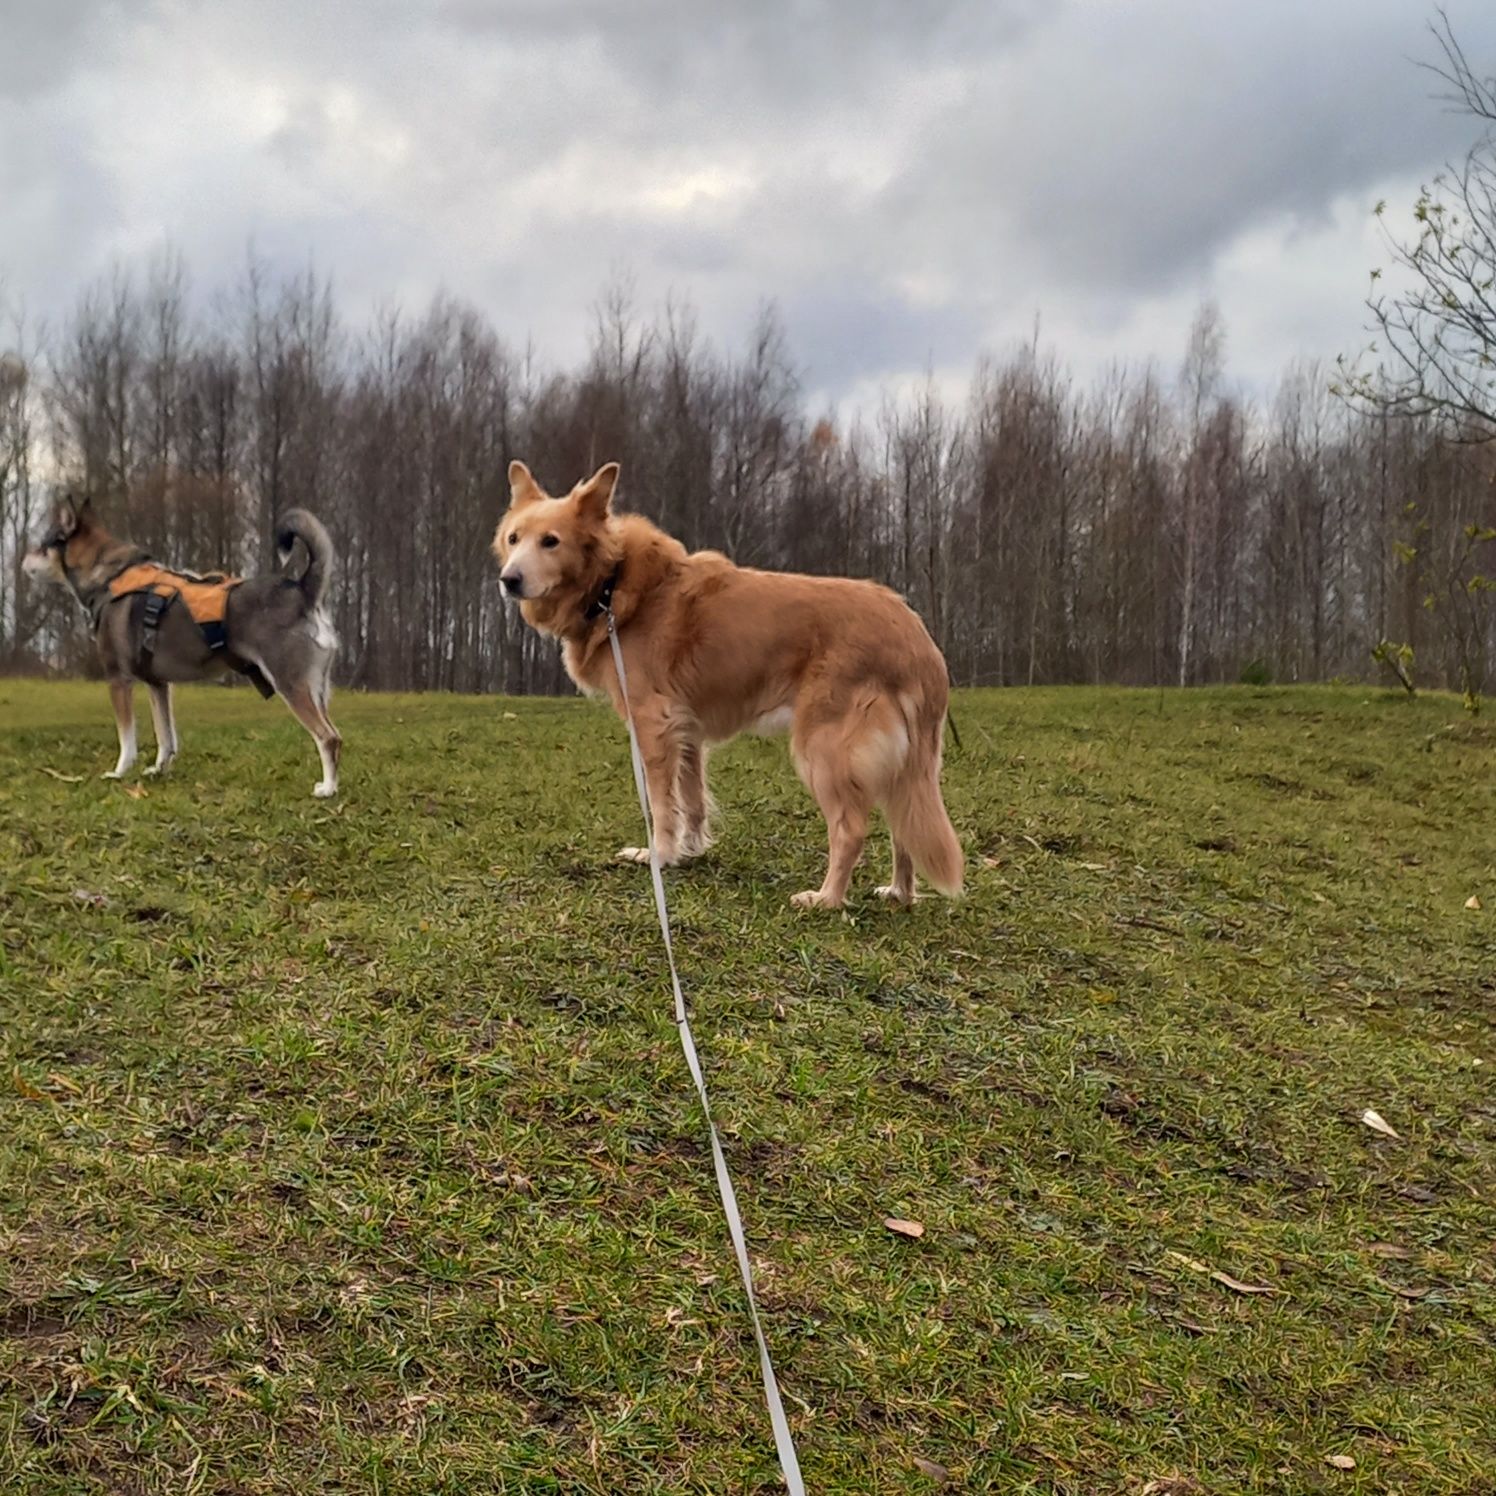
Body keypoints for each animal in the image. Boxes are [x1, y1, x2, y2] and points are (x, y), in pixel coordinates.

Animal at [487, 457, 957, 909]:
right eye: (514, 538)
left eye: (550, 541)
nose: (509, 580)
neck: (611, 581)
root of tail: (915, 636)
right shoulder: (685, 728)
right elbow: (691, 798)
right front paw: (690, 850)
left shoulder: (653, 724)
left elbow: (662, 805)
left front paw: (659, 856)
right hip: (903, 763)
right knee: (903, 826)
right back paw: (899, 892)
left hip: (825, 750)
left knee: (851, 829)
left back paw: (826, 899)